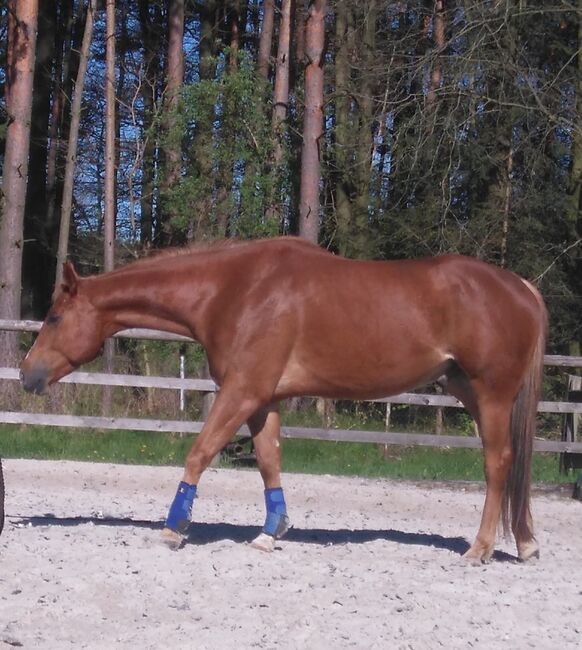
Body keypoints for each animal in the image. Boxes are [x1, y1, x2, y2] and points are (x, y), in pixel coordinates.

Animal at [19, 235, 548, 560]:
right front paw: (270, 532)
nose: (26, 374)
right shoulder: (263, 398)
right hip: (469, 391)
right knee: (514, 465)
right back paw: (525, 544)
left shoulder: (241, 390)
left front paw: (174, 528)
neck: (233, 290)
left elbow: (200, 452)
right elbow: (269, 461)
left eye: (54, 318)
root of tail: (522, 286)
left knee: (499, 463)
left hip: (490, 394)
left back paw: (480, 549)